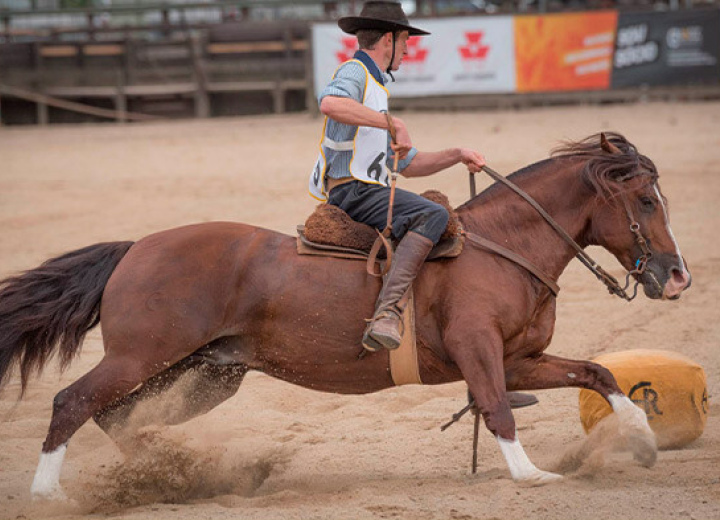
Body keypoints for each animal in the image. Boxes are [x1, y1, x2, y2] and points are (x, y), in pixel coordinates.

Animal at [0, 132, 692, 498]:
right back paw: (47, 492)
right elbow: (497, 409)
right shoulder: (480, 353)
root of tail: (134, 248)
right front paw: (530, 475)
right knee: (72, 401)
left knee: (119, 417)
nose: (678, 275)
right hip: (140, 357)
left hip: (208, 374)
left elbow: (600, 373)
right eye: (646, 199)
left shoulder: (519, 359)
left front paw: (641, 441)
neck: (503, 245)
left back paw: (172, 474)